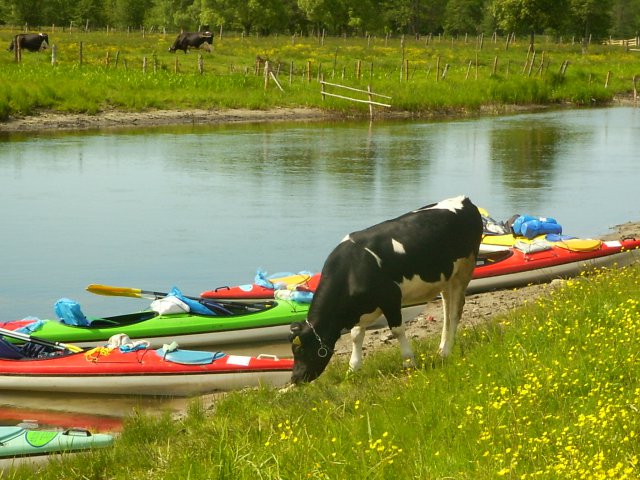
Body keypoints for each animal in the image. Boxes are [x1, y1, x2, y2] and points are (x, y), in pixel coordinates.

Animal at [288, 193, 482, 384]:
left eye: (300, 350)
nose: (295, 379)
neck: (352, 269)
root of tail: (464, 200)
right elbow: (356, 335)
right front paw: (353, 368)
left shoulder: (391, 298)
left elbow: (397, 330)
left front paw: (409, 361)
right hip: (447, 278)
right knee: (447, 312)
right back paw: (441, 349)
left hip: (464, 269)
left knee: (455, 312)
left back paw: (446, 352)